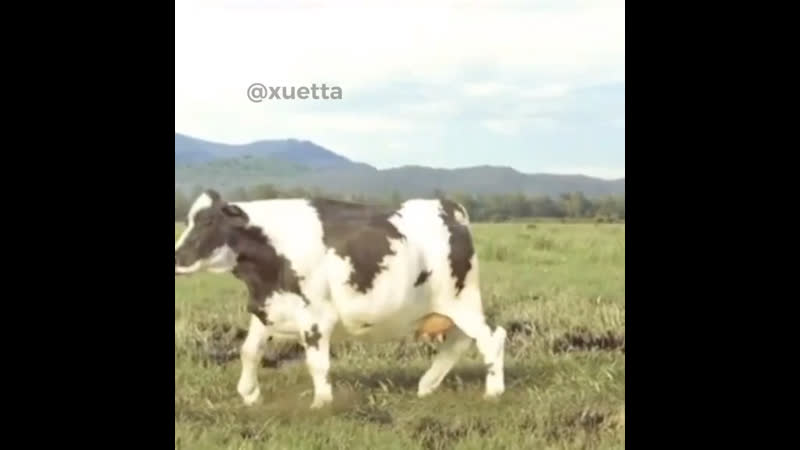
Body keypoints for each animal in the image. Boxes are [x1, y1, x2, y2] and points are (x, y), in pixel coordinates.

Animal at [174, 190, 507, 409]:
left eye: (207, 222)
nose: (177, 257)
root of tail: (448, 206)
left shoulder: (315, 317)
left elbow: (317, 363)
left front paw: (321, 402)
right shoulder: (268, 308)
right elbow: (249, 351)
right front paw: (249, 393)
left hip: (461, 300)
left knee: (491, 337)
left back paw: (493, 391)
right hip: (451, 307)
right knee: (460, 341)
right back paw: (427, 385)